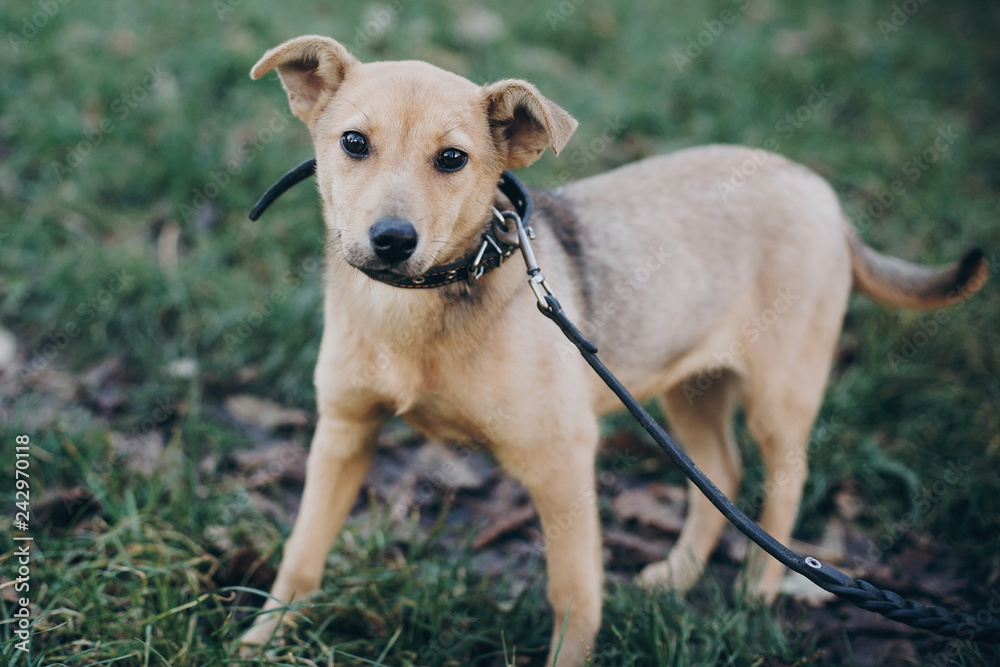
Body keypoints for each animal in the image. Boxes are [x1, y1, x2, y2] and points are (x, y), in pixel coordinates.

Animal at [238, 37, 988, 667]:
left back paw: (759, 589)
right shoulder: (343, 431)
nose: (392, 240)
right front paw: (262, 640)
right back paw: (677, 576)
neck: (419, 304)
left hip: (781, 389)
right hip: (687, 386)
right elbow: (302, 552)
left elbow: (573, 594)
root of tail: (821, 192)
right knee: (721, 470)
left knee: (784, 481)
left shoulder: (562, 460)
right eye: (353, 142)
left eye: (452, 159)